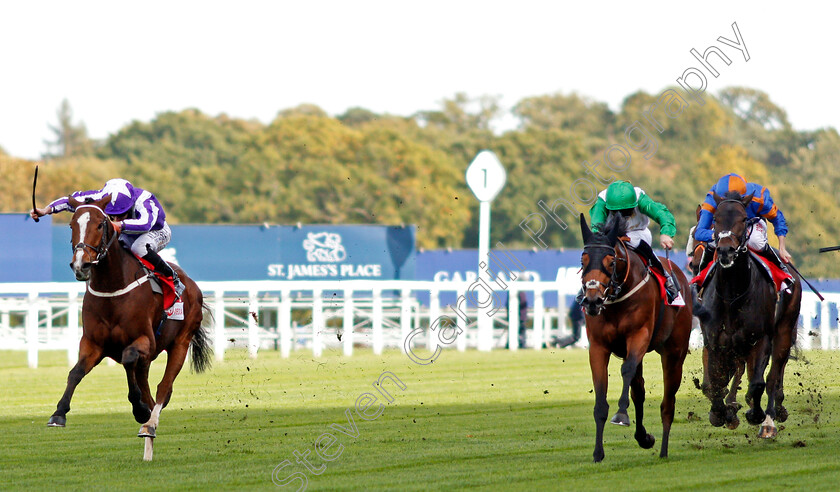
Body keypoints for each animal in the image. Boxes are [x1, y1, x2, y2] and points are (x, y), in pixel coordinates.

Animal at [47, 194, 210, 444]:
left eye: (100, 224)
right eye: (72, 225)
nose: (81, 264)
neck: (113, 288)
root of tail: (191, 283)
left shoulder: (145, 341)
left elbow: (128, 358)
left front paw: (139, 409)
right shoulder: (93, 343)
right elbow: (75, 372)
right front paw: (59, 413)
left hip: (181, 342)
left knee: (164, 387)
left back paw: (149, 422)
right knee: (148, 385)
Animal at [580, 212, 692, 462]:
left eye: (611, 262)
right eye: (583, 261)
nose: (592, 301)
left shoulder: (639, 336)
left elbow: (627, 371)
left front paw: (621, 414)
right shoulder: (598, 346)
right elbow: (602, 396)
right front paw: (597, 453)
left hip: (674, 353)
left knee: (668, 403)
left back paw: (664, 451)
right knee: (639, 390)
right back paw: (644, 438)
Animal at [696, 191, 800, 438]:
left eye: (744, 219)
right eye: (715, 219)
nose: (725, 250)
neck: (732, 296)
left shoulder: (759, 339)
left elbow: (757, 383)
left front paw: (753, 413)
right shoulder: (715, 341)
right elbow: (714, 383)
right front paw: (720, 413)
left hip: (783, 332)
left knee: (772, 378)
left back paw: (769, 422)